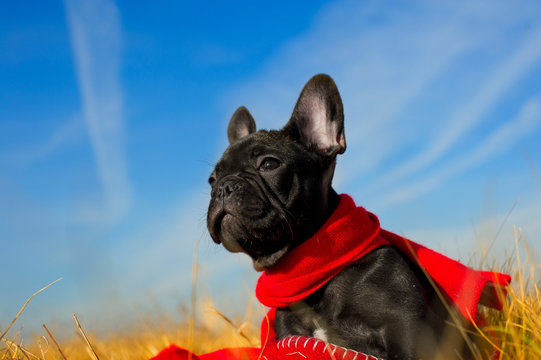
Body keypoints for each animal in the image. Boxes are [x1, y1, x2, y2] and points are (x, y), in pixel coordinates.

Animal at [207, 74, 494, 358]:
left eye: (268, 164)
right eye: (211, 179)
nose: (223, 187)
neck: (315, 272)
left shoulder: (408, 331)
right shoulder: (291, 338)